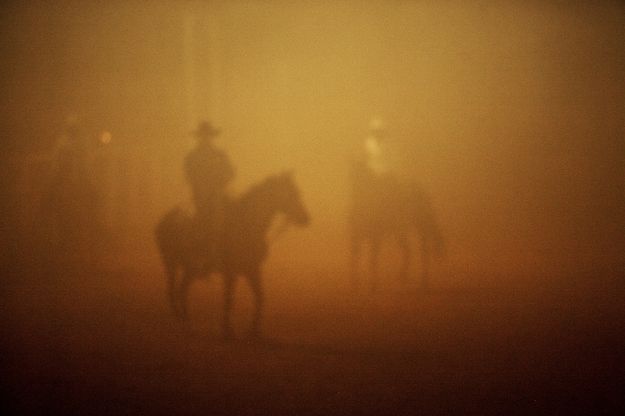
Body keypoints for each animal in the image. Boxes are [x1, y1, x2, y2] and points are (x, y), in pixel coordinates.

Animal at [155, 171, 310, 338]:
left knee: (182, 288)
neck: (246, 226)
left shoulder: (252, 270)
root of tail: (164, 221)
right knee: (173, 290)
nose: (306, 218)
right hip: (171, 263)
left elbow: (260, 297)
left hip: (189, 268)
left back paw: (186, 319)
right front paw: (227, 329)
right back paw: (182, 321)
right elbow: (229, 299)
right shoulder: (231, 273)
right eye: (292, 194)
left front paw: (254, 330)